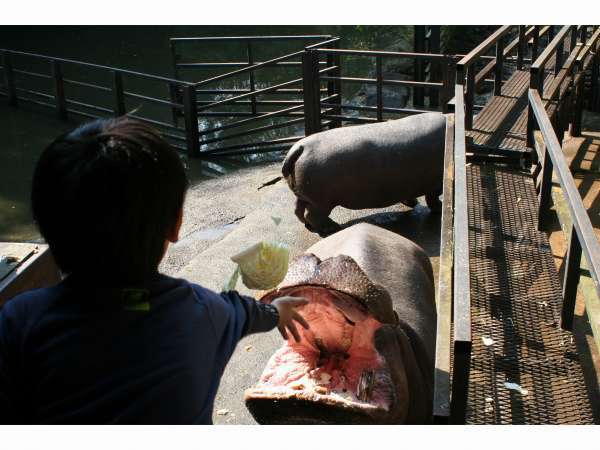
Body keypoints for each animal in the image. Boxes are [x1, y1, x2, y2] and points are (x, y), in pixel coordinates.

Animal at [284, 111, 448, 236]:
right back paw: (333, 228)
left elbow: (411, 195)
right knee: (312, 215)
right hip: (321, 202)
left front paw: (413, 203)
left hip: (305, 196)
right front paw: (440, 209)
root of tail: (299, 147)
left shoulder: (408, 182)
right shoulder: (436, 184)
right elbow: (433, 198)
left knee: (298, 211)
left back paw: (311, 226)